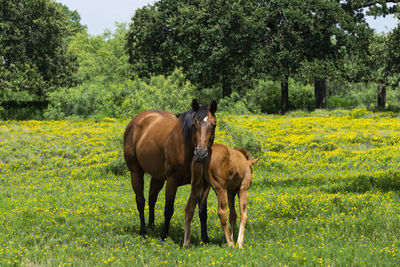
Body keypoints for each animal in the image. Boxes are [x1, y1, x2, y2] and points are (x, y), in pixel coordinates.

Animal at [125, 99, 219, 240]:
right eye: (193, 125)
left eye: (213, 125)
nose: (201, 153)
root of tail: (137, 120)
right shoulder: (172, 181)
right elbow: (168, 209)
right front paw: (164, 235)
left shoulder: (204, 184)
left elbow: (203, 212)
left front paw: (205, 239)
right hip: (136, 171)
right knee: (140, 200)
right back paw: (143, 230)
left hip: (157, 176)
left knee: (152, 198)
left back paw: (151, 226)